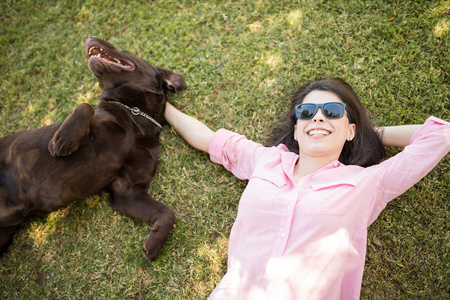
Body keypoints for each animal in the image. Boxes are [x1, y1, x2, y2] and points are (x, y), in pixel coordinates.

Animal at [0, 35, 186, 260]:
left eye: (126, 50)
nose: (90, 37)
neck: (136, 119)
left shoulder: (128, 192)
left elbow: (168, 212)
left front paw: (155, 242)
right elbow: (84, 105)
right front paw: (63, 138)